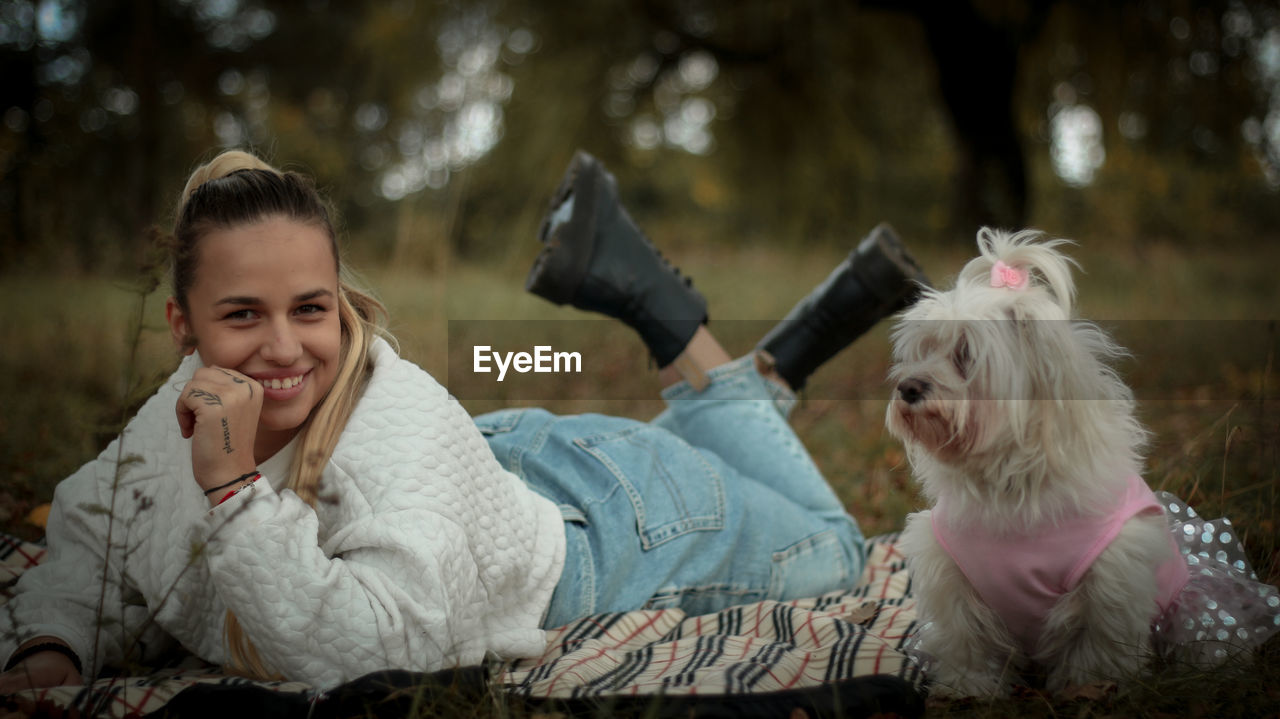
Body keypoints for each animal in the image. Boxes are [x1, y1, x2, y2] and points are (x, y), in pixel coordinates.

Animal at [885, 227, 1182, 695]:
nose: (907, 387)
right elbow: (967, 642)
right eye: (923, 351)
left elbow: (1095, 646)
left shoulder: (1110, 579)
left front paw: (1087, 689)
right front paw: (969, 690)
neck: (1010, 481)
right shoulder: (953, 576)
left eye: (966, 354)